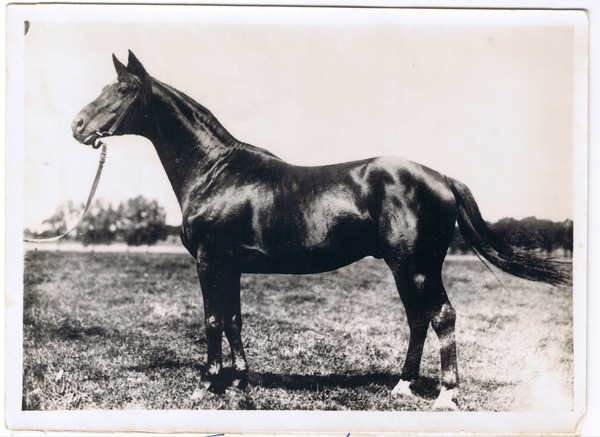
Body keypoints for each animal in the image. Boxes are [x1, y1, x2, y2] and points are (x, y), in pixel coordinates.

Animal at [70, 52, 568, 410]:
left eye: (122, 90)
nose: (77, 125)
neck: (215, 172)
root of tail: (441, 178)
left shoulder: (210, 261)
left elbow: (212, 320)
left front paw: (209, 385)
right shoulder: (230, 265)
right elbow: (233, 319)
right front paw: (241, 382)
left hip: (416, 264)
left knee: (441, 316)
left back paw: (447, 395)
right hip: (407, 266)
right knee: (418, 318)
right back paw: (403, 386)